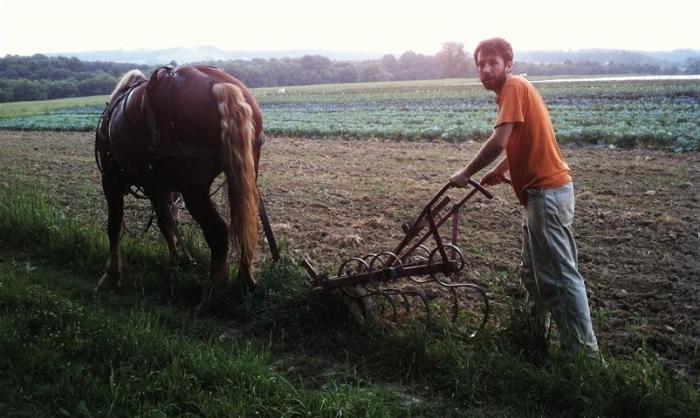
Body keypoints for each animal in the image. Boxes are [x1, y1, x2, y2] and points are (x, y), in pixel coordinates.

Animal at [95, 64, 266, 306]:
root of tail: (220, 85)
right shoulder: (159, 187)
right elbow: (167, 222)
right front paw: (175, 260)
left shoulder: (111, 181)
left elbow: (114, 227)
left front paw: (111, 275)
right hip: (245, 176)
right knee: (245, 224)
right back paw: (245, 279)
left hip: (194, 189)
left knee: (218, 232)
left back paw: (210, 294)